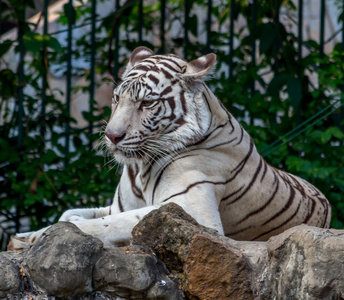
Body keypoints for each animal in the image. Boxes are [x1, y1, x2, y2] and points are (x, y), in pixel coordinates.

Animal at [10, 46, 330, 248]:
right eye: (116, 98)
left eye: (146, 103)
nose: (112, 136)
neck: (139, 167)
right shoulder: (116, 206)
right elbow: (71, 213)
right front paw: (26, 235)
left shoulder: (194, 212)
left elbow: (104, 224)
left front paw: (41, 235)